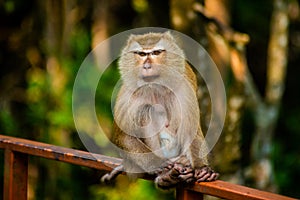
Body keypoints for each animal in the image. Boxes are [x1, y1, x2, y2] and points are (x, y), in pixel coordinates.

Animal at [102, 31, 219, 189]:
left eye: (156, 52)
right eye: (141, 54)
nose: (146, 66)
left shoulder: (184, 88)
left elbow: (191, 131)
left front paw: (201, 168)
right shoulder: (128, 94)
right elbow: (123, 136)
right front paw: (159, 165)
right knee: (147, 110)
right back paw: (165, 176)